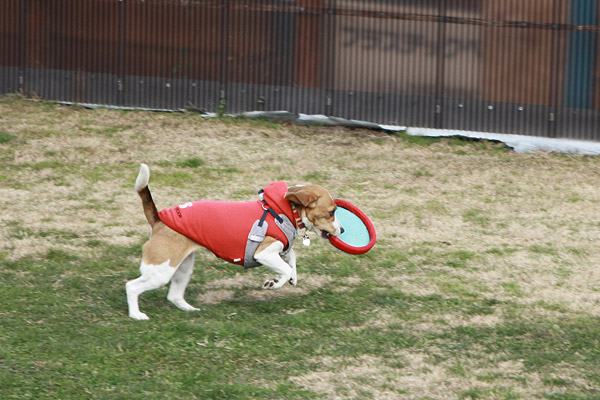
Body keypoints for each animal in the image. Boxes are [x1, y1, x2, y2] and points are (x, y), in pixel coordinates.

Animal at [125, 162, 342, 318]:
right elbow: (286, 267)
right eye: (332, 212)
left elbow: (292, 260)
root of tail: (158, 220)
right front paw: (275, 283)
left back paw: (189, 310)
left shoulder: (281, 250)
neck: (283, 209)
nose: (343, 229)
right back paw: (136, 315)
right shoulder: (264, 253)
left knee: (174, 295)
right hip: (160, 271)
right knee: (132, 286)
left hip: (182, 267)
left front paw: (289, 278)